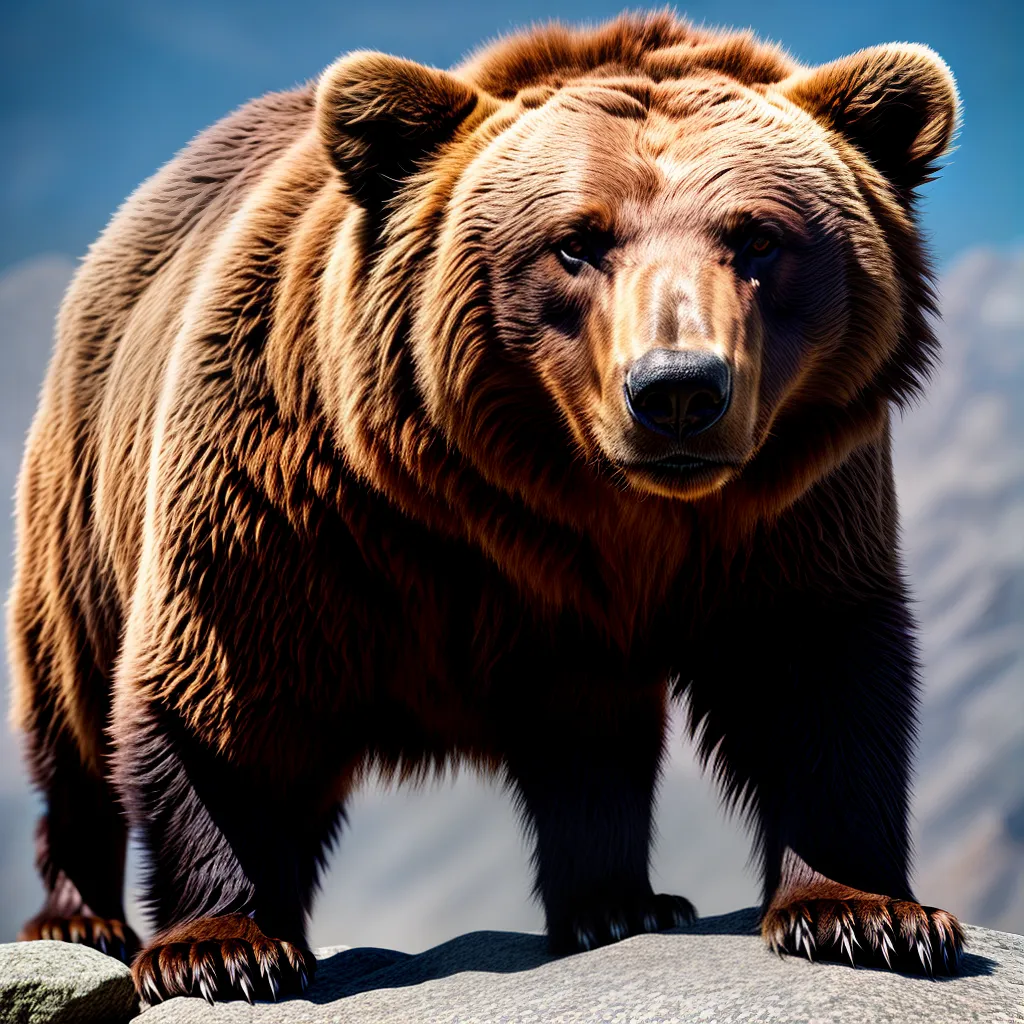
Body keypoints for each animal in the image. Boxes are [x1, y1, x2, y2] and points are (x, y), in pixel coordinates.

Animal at [8, 11, 964, 1005]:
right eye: (576, 240)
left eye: (759, 238)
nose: (677, 390)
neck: (568, 500)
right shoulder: (294, 495)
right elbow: (228, 691)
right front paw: (225, 946)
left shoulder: (790, 506)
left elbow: (813, 667)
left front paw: (865, 914)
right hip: (78, 484)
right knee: (71, 699)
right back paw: (78, 914)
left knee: (592, 735)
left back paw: (617, 904)